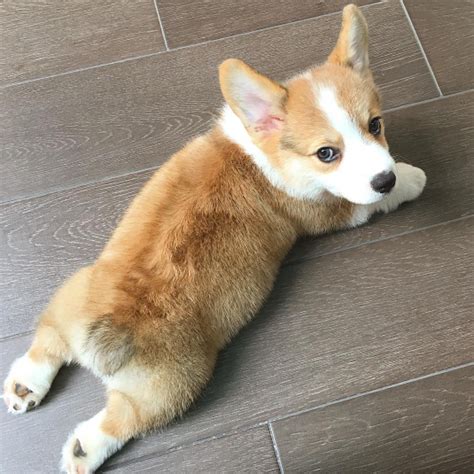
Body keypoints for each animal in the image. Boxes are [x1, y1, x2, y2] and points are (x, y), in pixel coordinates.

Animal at [3, 4, 426, 474]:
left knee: (48, 340)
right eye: (327, 154)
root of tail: (103, 334)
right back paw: (83, 450)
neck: (262, 149)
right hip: (176, 385)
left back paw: (25, 385)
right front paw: (410, 179)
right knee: (125, 419)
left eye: (376, 124)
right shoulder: (331, 210)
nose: (384, 178)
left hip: (72, 293)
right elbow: (366, 202)